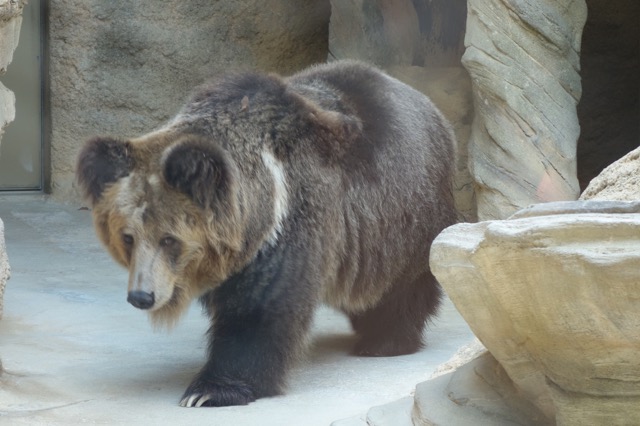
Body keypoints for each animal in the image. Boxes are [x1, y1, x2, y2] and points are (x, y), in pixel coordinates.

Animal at [75, 59, 458, 406]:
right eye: (128, 237)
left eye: (169, 239)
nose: (142, 296)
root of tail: (422, 100)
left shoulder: (290, 222)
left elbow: (261, 309)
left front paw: (210, 390)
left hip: (401, 215)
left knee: (403, 285)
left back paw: (383, 342)